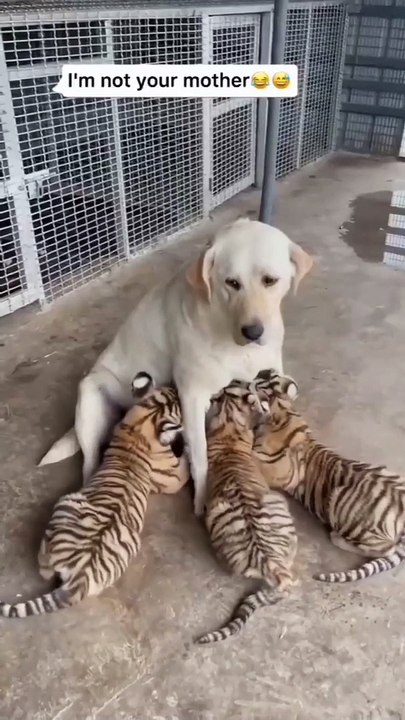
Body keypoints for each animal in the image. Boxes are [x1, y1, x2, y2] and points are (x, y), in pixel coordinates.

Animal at [0, 372, 190, 618]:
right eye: (177, 402)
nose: (177, 387)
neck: (141, 423)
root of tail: (79, 577)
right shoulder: (174, 477)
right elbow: (185, 465)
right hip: (71, 503)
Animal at [251, 369, 405, 583]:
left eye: (266, 379)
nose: (259, 372)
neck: (283, 411)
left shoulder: (275, 470)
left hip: (340, 499)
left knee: (387, 548)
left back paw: (337, 538)